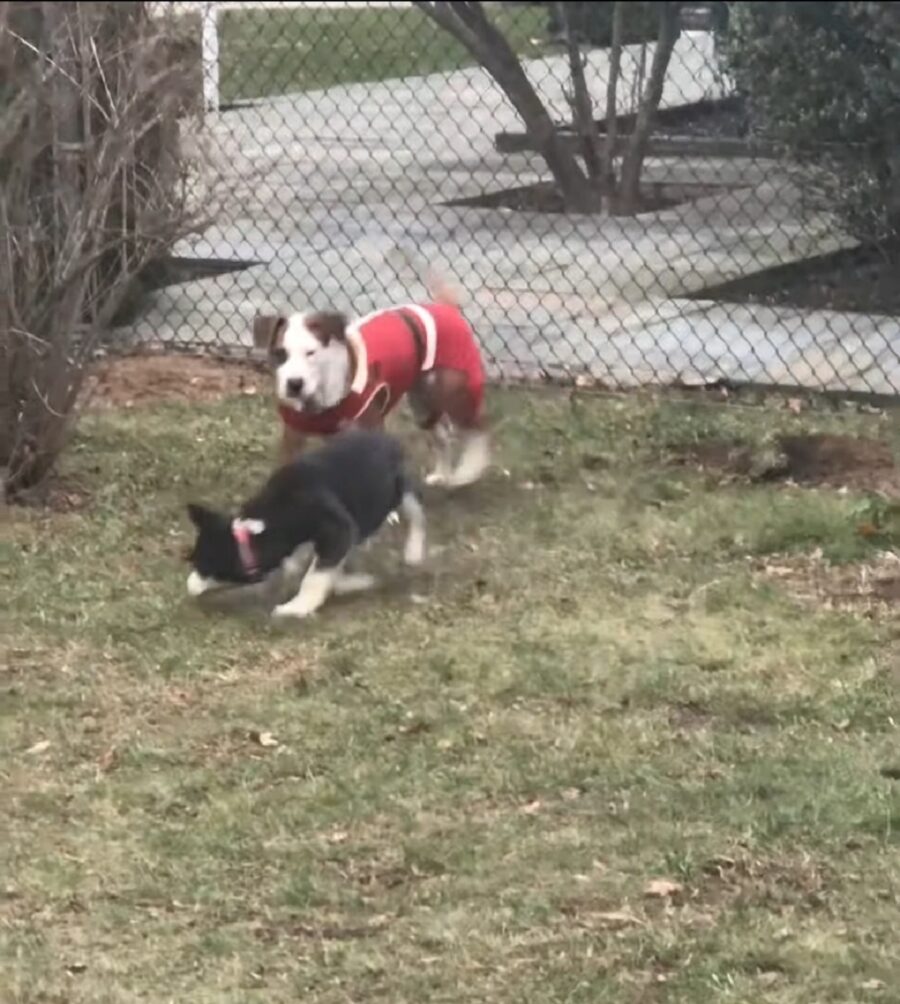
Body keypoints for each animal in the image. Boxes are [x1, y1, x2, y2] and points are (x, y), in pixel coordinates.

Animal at [184, 427, 427, 614]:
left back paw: (413, 552)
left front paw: (297, 607)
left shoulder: (337, 530)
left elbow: (315, 576)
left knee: (416, 516)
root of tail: (387, 438)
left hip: (401, 491)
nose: (189, 588)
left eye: (201, 565)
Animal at [251, 277, 492, 487]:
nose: (294, 383)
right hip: (423, 404)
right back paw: (443, 473)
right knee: (442, 434)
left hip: (454, 391)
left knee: (477, 426)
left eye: (311, 352)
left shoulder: (370, 428)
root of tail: (447, 308)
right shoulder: (294, 436)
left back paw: (468, 470)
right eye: (280, 353)